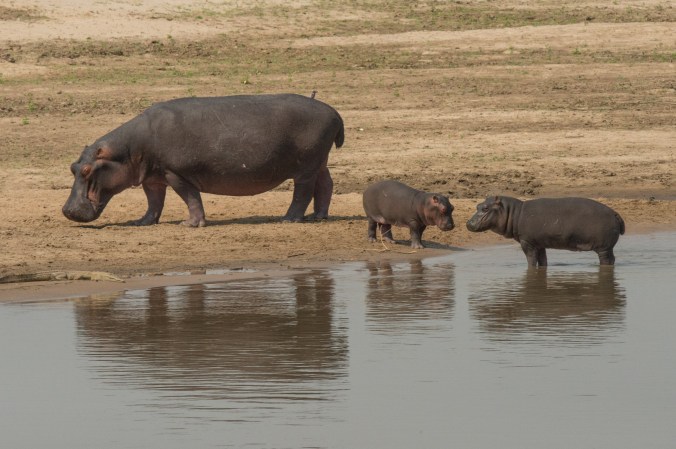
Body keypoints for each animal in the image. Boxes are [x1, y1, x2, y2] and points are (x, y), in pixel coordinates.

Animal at [62, 93, 344, 227]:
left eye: (86, 170)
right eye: (73, 167)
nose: (66, 210)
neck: (128, 149)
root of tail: (334, 111)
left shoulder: (175, 173)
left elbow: (190, 198)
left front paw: (190, 224)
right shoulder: (152, 177)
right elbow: (154, 201)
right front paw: (142, 222)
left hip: (306, 166)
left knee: (303, 192)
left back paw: (289, 219)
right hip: (319, 161)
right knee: (326, 184)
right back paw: (318, 216)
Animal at [466, 196, 625, 266]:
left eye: (485, 208)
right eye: (477, 205)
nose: (468, 223)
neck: (514, 213)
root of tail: (615, 212)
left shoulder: (527, 242)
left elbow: (531, 260)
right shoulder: (539, 243)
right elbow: (543, 260)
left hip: (603, 248)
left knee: (606, 261)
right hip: (607, 247)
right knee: (612, 259)